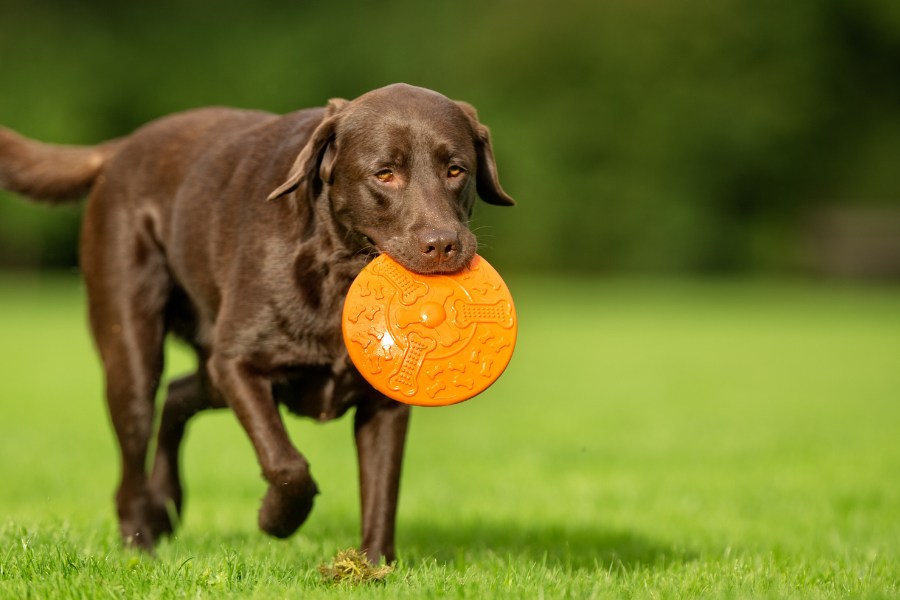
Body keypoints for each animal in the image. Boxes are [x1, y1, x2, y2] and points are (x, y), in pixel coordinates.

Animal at [0, 84, 512, 564]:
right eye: (385, 173)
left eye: (456, 169)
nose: (443, 244)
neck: (337, 271)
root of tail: (122, 147)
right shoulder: (238, 364)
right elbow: (286, 464)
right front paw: (275, 519)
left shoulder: (384, 403)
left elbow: (382, 490)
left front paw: (373, 568)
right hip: (133, 350)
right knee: (135, 447)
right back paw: (140, 541)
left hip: (206, 371)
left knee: (178, 396)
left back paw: (166, 503)